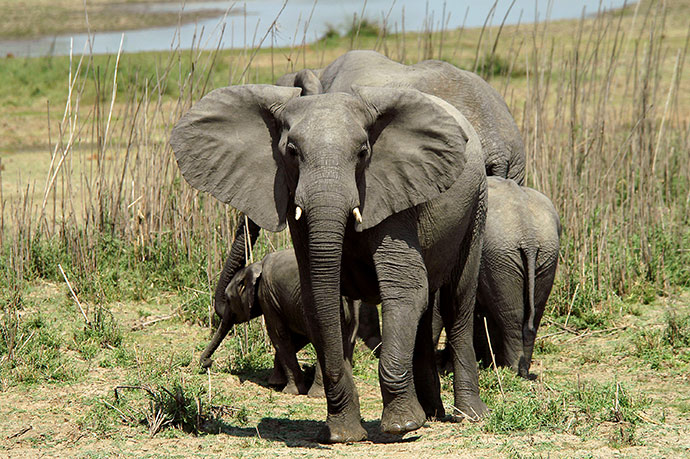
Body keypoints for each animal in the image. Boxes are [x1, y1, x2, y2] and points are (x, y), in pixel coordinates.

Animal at [223, 250, 378, 398]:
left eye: (228, 299)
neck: (256, 265)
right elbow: (298, 338)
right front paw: (276, 383)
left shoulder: (267, 297)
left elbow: (279, 335)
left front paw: (289, 391)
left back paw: (317, 395)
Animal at [470, 176, 560, 378]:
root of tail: (529, 236)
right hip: (544, 256)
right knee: (533, 313)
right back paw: (522, 369)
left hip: (501, 257)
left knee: (511, 315)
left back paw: (512, 370)